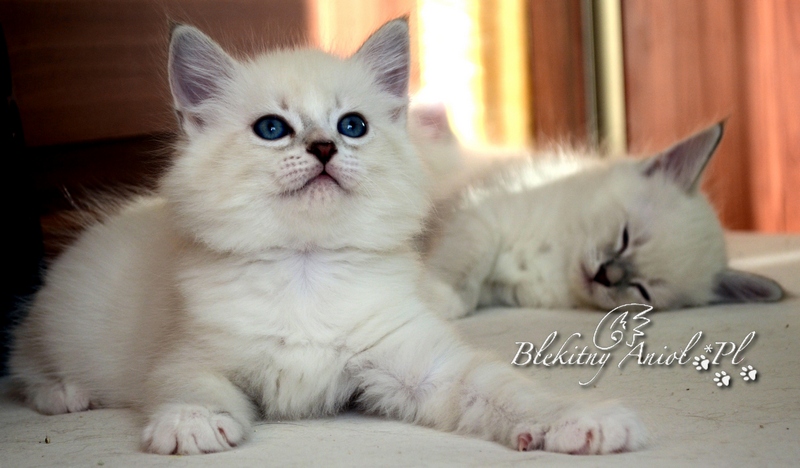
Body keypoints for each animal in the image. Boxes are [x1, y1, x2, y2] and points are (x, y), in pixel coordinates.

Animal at [9, 20, 647, 456]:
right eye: (272, 129)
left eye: (352, 126)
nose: (323, 148)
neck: (306, 268)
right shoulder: (193, 354)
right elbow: (190, 387)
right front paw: (192, 426)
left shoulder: (421, 362)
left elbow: (513, 393)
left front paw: (581, 420)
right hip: (58, 322)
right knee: (23, 362)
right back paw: (64, 395)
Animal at [415, 108, 784, 319]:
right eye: (625, 237)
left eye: (643, 289)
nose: (605, 275)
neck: (557, 258)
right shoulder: (480, 213)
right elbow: (464, 268)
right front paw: (438, 300)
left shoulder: (504, 285)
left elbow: (471, 289)